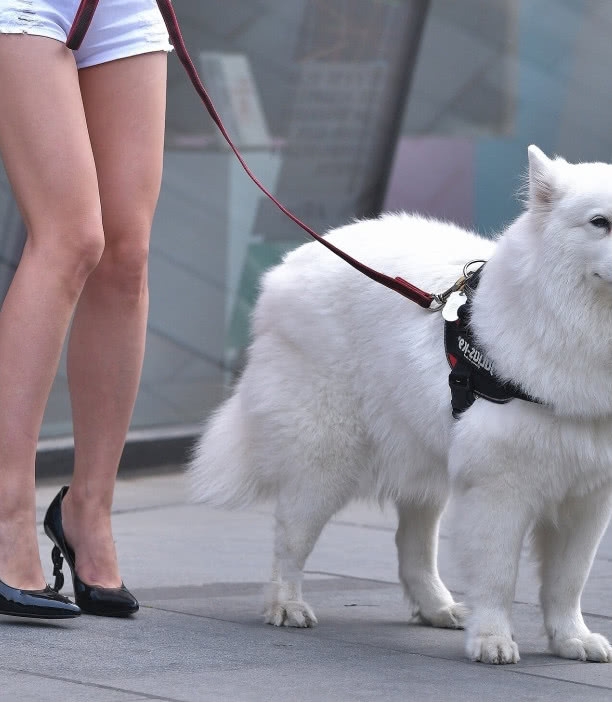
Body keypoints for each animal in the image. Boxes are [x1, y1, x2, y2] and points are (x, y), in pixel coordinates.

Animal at [189, 147, 612, 664]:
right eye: (600, 223)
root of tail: (288, 265)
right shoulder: (500, 488)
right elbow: (498, 576)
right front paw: (492, 638)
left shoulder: (588, 498)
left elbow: (569, 581)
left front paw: (572, 638)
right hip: (325, 462)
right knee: (290, 537)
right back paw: (285, 605)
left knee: (412, 545)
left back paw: (438, 608)